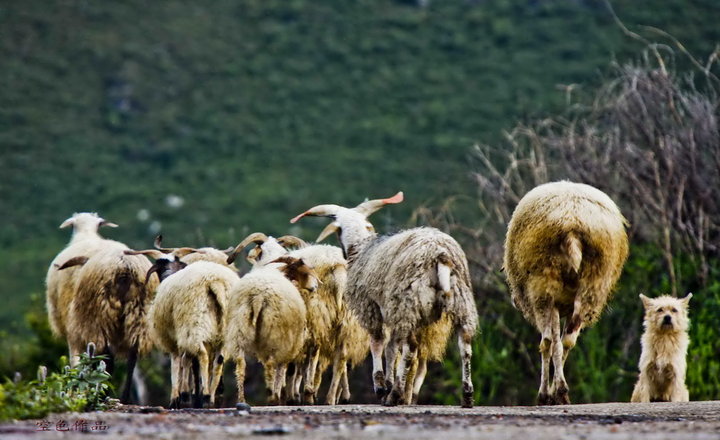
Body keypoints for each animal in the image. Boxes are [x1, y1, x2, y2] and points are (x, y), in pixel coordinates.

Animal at [57, 239, 162, 404]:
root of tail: (125, 268)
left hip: (101, 314)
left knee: (107, 356)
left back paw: (102, 393)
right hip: (140, 313)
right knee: (132, 355)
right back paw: (124, 397)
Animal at [222, 258, 318, 406]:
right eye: (305, 272)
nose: (315, 287)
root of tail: (258, 297)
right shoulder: (289, 344)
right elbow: (281, 370)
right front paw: (277, 393)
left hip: (238, 328)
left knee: (241, 364)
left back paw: (242, 399)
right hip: (275, 333)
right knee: (271, 365)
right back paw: (272, 398)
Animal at [290, 192, 480, 410]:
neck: (361, 247)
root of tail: (441, 255)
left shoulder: (370, 307)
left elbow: (378, 342)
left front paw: (381, 386)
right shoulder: (392, 312)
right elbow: (392, 349)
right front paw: (389, 383)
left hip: (407, 302)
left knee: (410, 349)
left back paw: (395, 394)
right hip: (458, 301)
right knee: (464, 345)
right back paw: (467, 396)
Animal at [500, 180, 632, 404]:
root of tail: (572, 223)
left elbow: (553, 344)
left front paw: (548, 393)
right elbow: (562, 344)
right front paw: (557, 390)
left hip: (543, 285)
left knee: (547, 341)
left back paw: (546, 394)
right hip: (593, 283)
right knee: (568, 340)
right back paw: (560, 391)